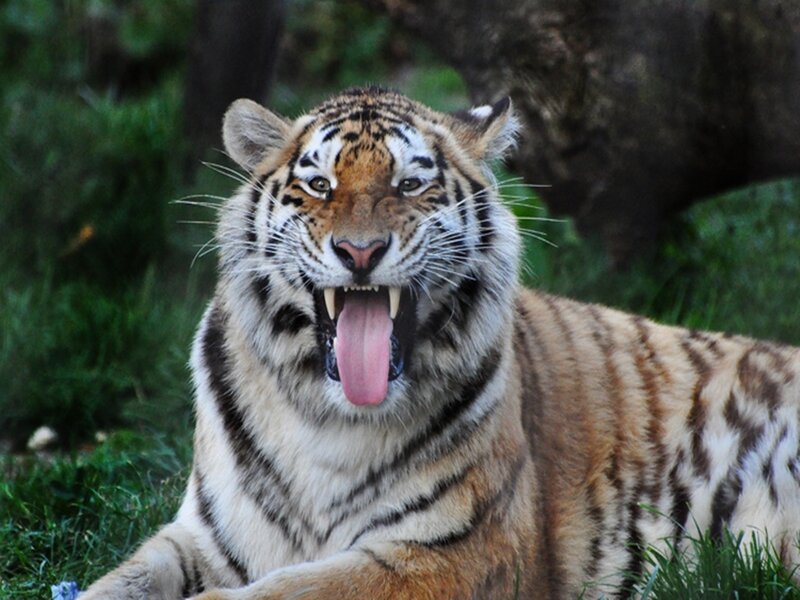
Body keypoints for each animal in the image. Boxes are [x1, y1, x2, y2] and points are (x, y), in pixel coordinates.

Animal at [82, 87, 800, 600]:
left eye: (409, 183)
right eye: (319, 185)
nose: (360, 251)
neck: (323, 415)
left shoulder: (454, 553)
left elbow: (287, 591)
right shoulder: (204, 537)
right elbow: (120, 580)